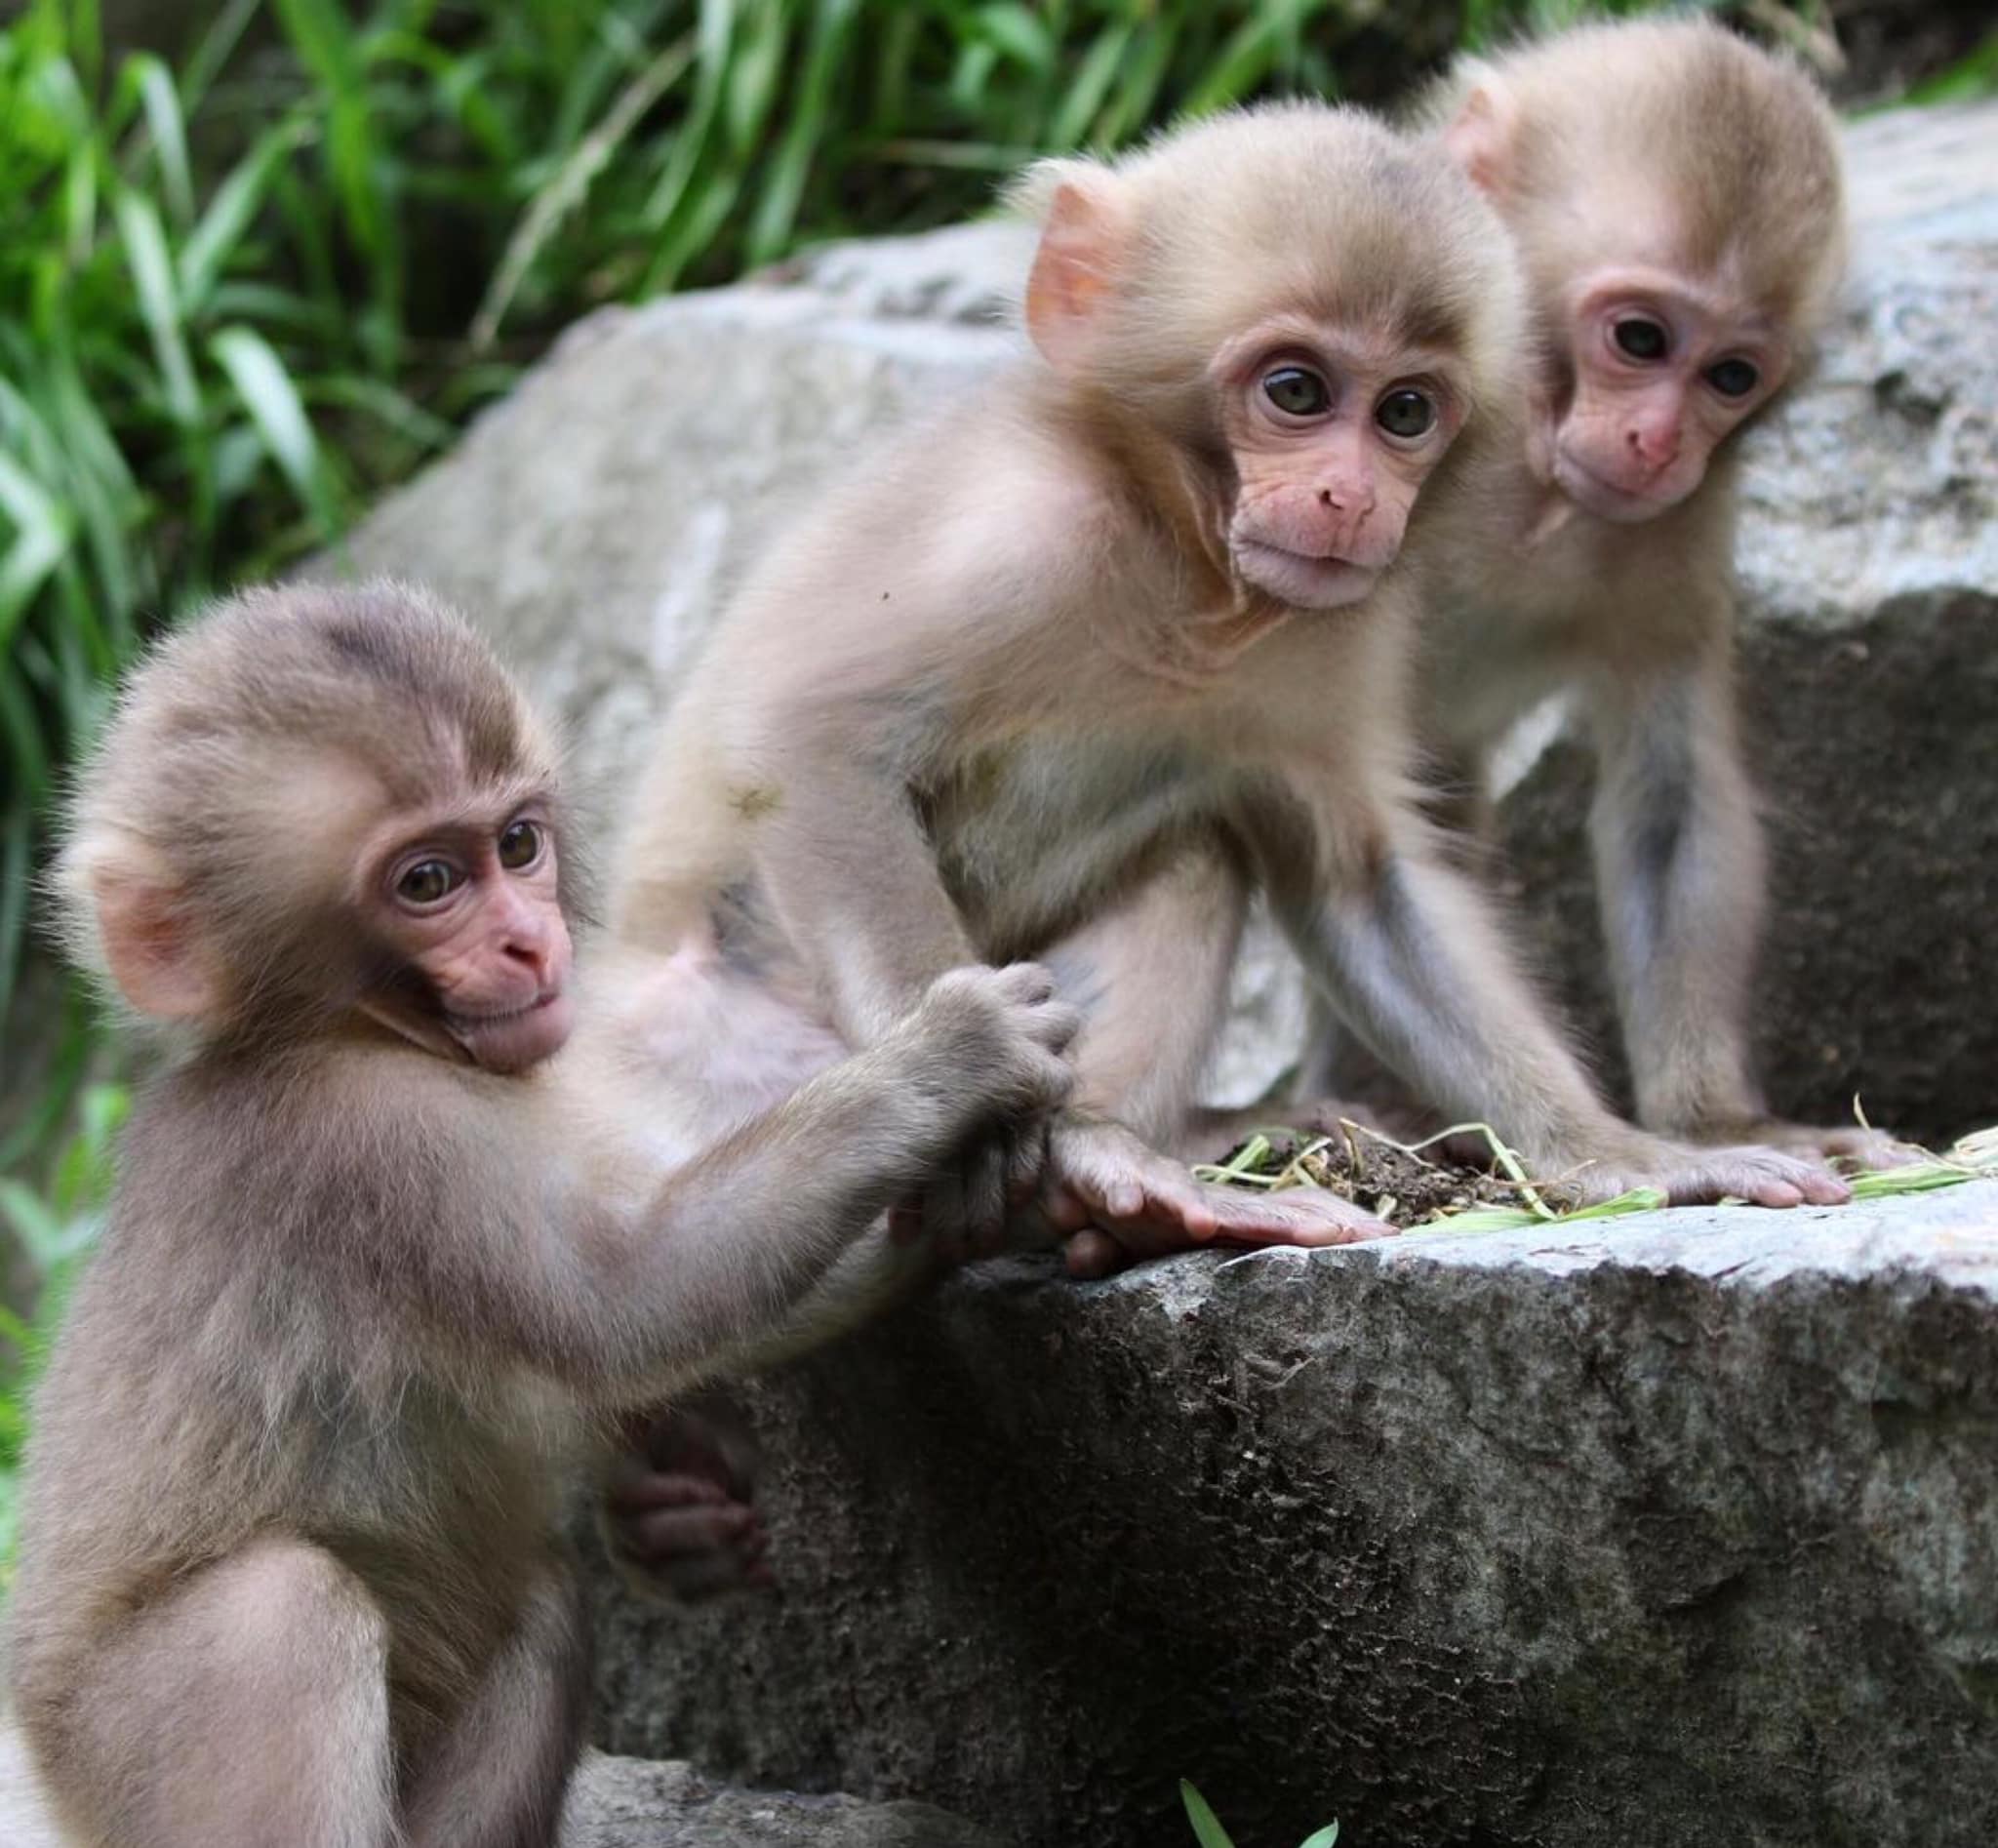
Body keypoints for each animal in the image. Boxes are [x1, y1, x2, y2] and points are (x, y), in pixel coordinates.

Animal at [6, 582, 1080, 1847]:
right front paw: (946, 1058)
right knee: (277, 1615)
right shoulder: (361, 1143)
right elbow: (622, 1303)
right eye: (427, 883)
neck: (346, 1035)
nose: (530, 940)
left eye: (517, 844)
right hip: (110, 1752)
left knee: (541, 1607)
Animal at [610, 100, 1849, 1293]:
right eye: (1295, 391)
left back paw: (1122, 1176)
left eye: (1405, 412)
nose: (1350, 496)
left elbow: (1357, 883)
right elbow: (809, 740)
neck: (1183, 566)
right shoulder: (1016, 534)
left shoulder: (1332, 640)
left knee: (1195, 857)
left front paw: (1627, 1154)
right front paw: (974, 1094)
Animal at [1295, 18, 1907, 1171]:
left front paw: (1716, 1123)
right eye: (1639, 338)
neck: (1526, 456)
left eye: (1729, 376)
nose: (1657, 441)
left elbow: (1669, 798)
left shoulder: (1678, 528)